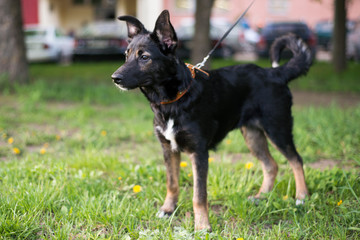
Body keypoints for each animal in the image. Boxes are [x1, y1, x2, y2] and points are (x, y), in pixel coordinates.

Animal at [112, 10, 312, 231]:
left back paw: (302, 197)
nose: (115, 78)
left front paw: (202, 226)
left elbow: (199, 196)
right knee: (271, 165)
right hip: (253, 135)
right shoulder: (168, 149)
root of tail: (275, 73)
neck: (174, 100)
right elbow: (172, 184)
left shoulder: (199, 153)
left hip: (277, 129)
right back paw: (262, 197)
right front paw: (168, 210)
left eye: (145, 57)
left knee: (296, 160)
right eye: (126, 55)